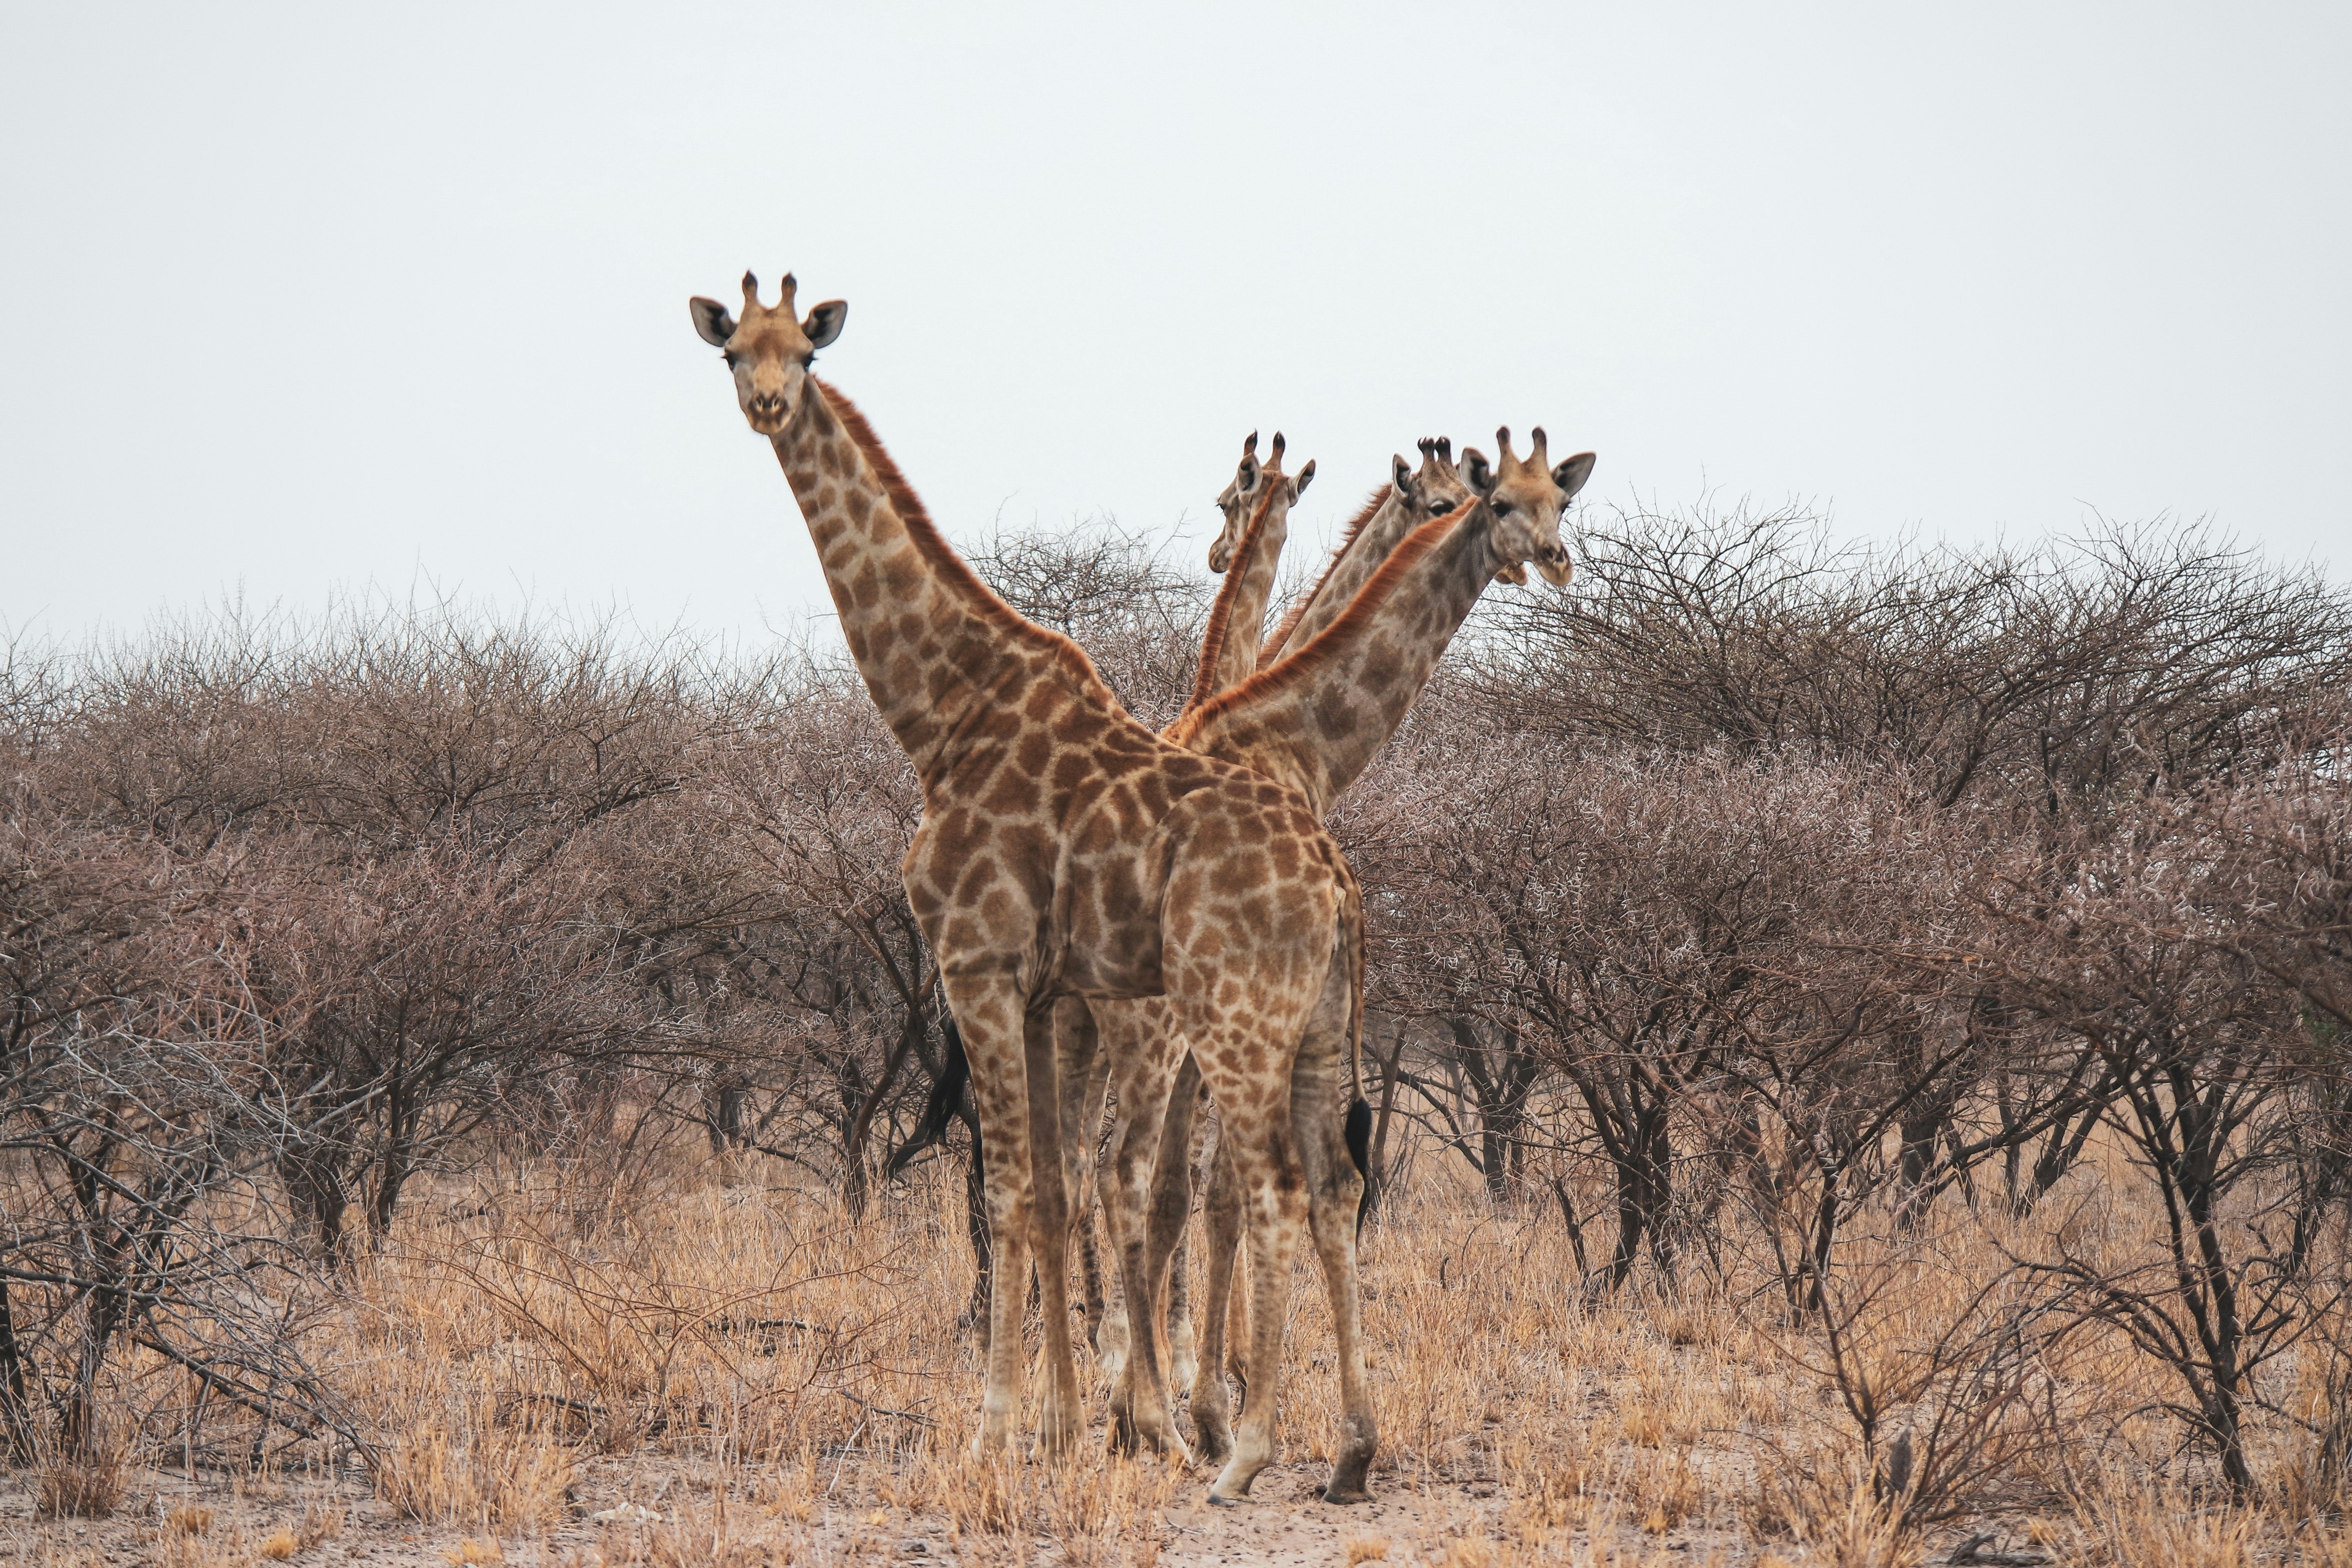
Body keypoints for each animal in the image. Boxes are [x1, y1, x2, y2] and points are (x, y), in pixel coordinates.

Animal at [689, 272, 1377, 1501]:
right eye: (733, 353)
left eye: (802, 355)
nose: (766, 403)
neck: (941, 713)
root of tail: (1332, 875)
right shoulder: (1043, 990)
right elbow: (1050, 1192)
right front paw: (1069, 1425)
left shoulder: (982, 963)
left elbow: (1011, 1192)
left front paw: (1000, 1430)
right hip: (1289, 1023)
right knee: (1307, 1182)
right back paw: (1329, 1447)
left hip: (1230, 1016)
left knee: (1247, 1187)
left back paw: (1229, 1443)